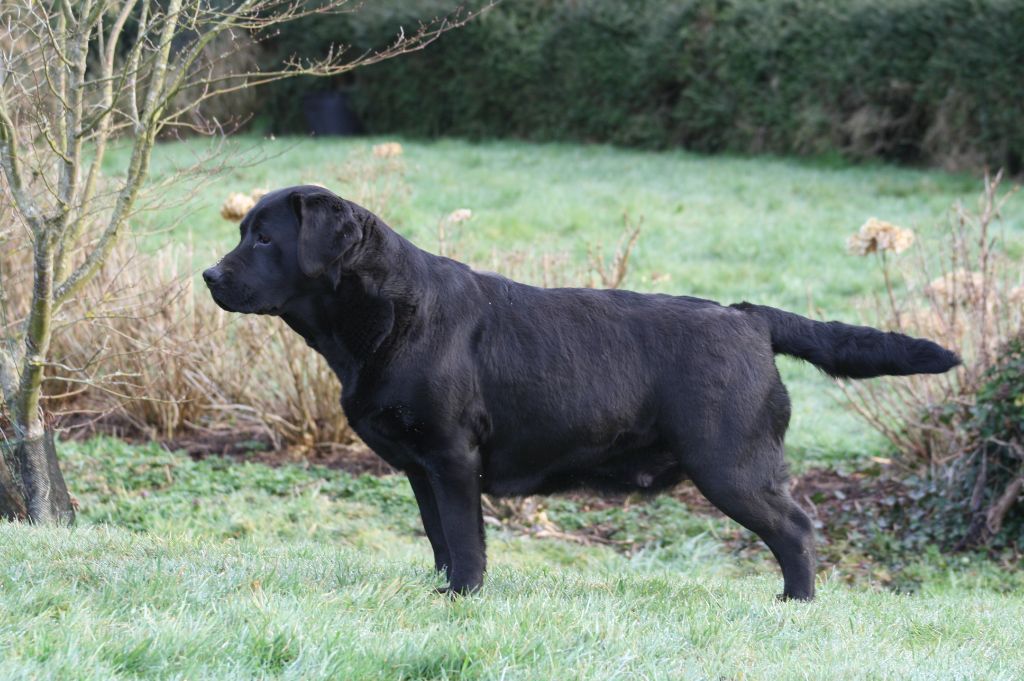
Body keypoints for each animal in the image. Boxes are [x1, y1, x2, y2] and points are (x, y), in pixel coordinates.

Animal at [205, 186, 958, 602]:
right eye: (241, 232)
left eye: (265, 238)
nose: (209, 275)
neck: (391, 312)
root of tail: (749, 317)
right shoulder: (422, 468)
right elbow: (440, 538)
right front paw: (441, 589)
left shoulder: (453, 457)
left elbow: (466, 540)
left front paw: (464, 599)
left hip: (732, 463)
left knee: (797, 529)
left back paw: (795, 603)